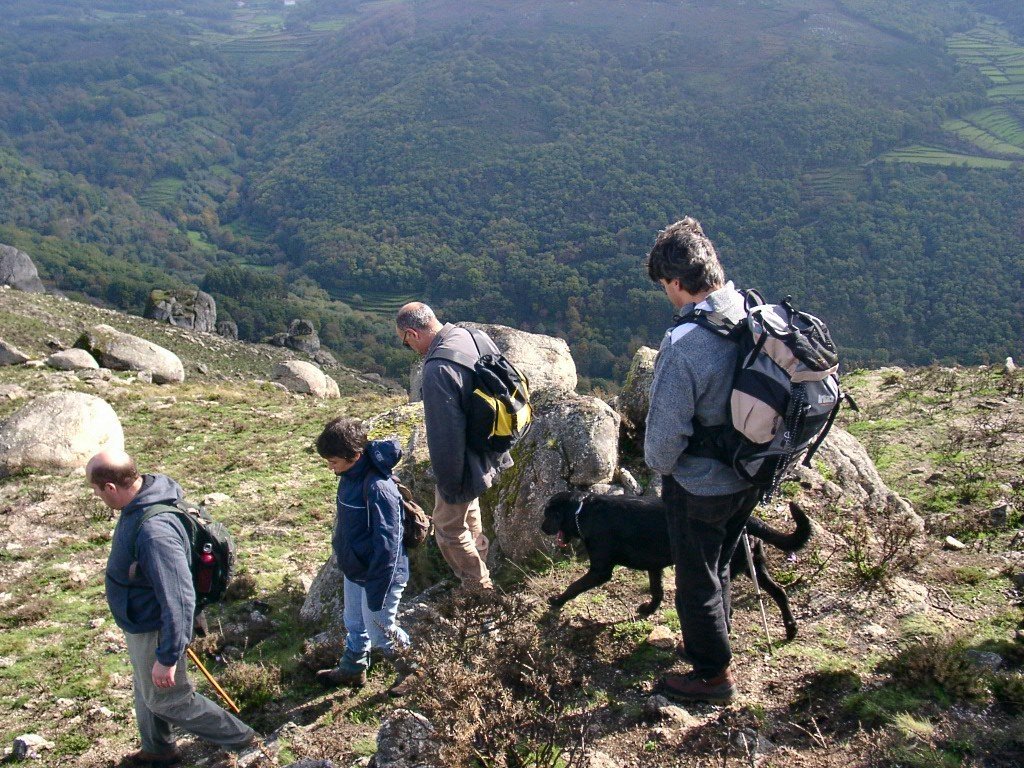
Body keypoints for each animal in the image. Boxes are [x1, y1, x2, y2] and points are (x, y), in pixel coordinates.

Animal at [541, 491, 811, 639]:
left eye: (547, 514)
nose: (541, 527)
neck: (582, 511)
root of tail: (750, 521)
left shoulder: (600, 570)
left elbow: (575, 586)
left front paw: (557, 600)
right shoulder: (654, 565)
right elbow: (657, 590)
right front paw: (649, 608)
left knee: (728, 607)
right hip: (754, 565)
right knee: (779, 592)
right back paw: (791, 629)